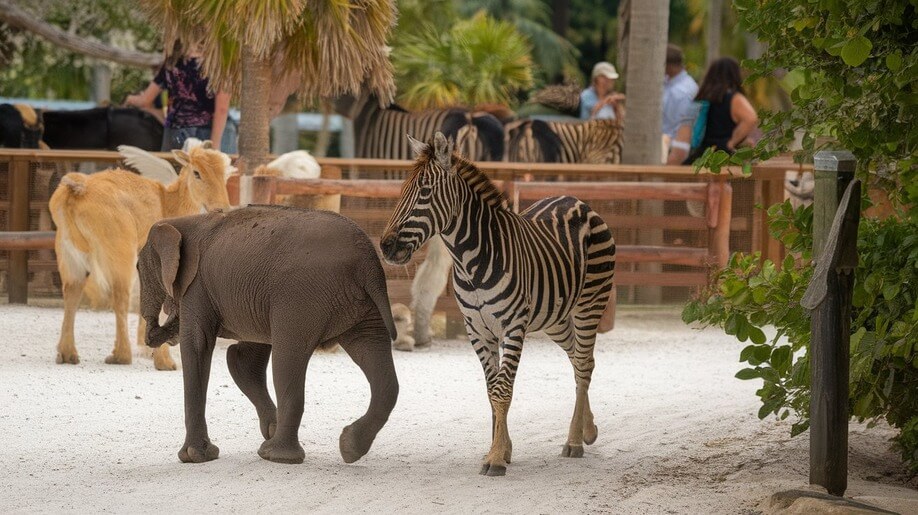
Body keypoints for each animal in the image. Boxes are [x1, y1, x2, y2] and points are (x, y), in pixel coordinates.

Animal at [49, 145, 234, 370]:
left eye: (225, 174)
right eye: (197, 172)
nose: (221, 208)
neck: (168, 203)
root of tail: (78, 189)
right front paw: (164, 359)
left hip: (69, 255)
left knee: (71, 294)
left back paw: (67, 353)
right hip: (120, 253)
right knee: (120, 297)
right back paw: (122, 355)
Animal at [137, 207, 398, 468]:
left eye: (138, 267)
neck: (183, 220)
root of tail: (368, 263)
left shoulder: (197, 287)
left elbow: (197, 347)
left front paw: (193, 457)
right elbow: (243, 357)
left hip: (301, 298)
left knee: (286, 360)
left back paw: (276, 455)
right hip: (361, 304)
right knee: (376, 357)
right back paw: (349, 448)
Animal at [378, 132, 620, 476]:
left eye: (424, 192)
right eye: (402, 191)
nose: (386, 246)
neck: (469, 261)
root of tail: (575, 200)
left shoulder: (512, 325)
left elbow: (502, 390)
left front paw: (495, 458)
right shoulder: (477, 329)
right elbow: (491, 389)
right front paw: (500, 450)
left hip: (590, 304)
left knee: (585, 364)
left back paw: (574, 441)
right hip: (555, 318)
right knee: (577, 360)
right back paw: (588, 430)